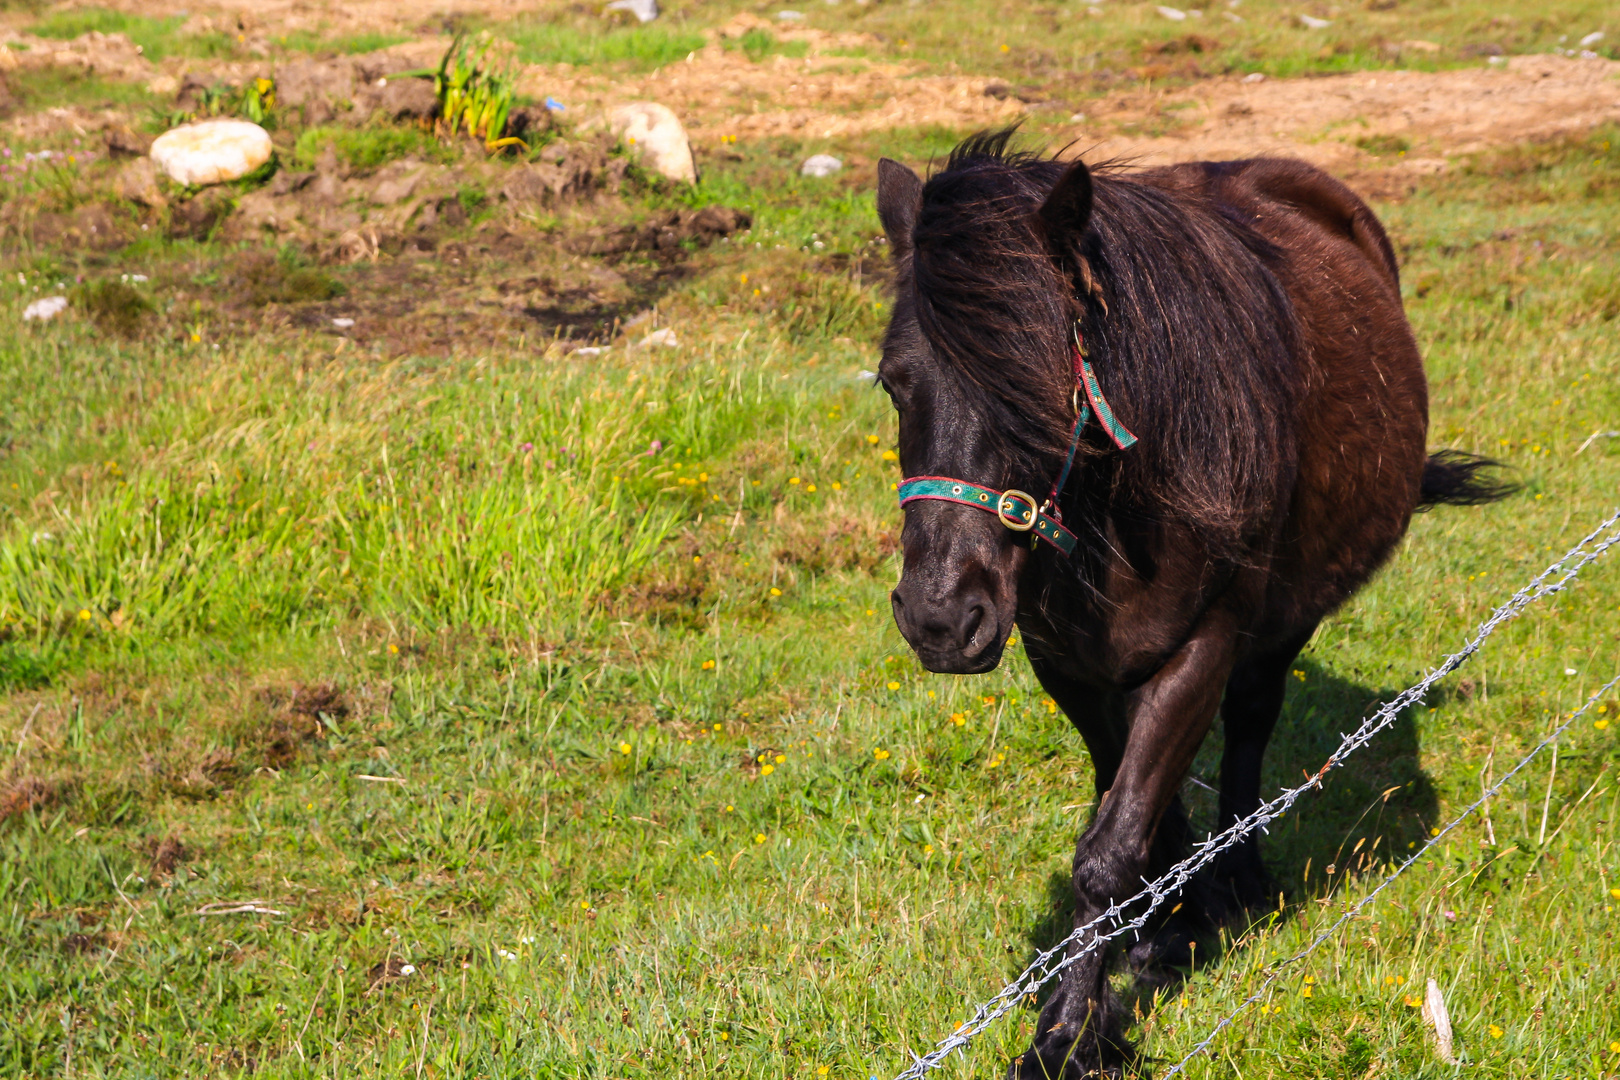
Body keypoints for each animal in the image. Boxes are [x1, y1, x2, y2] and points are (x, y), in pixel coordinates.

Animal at [874, 131, 1503, 1075]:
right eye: (892, 382)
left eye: (1035, 382)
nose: (940, 618)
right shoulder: (1071, 667)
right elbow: (1132, 817)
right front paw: (1155, 936)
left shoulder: (1203, 646)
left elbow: (1108, 848)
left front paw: (1066, 1034)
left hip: (1282, 621)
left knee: (1252, 721)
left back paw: (1242, 878)